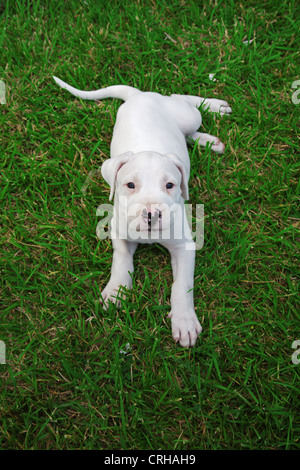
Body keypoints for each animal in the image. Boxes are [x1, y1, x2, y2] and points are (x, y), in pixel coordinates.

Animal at [54, 77, 232, 346]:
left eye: (170, 185)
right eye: (130, 185)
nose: (151, 214)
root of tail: (138, 95)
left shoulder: (184, 246)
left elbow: (181, 285)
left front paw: (184, 321)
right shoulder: (118, 231)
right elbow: (121, 259)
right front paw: (116, 291)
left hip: (186, 115)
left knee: (182, 101)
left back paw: (215, 108)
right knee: (185, 129)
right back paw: (207, 139)